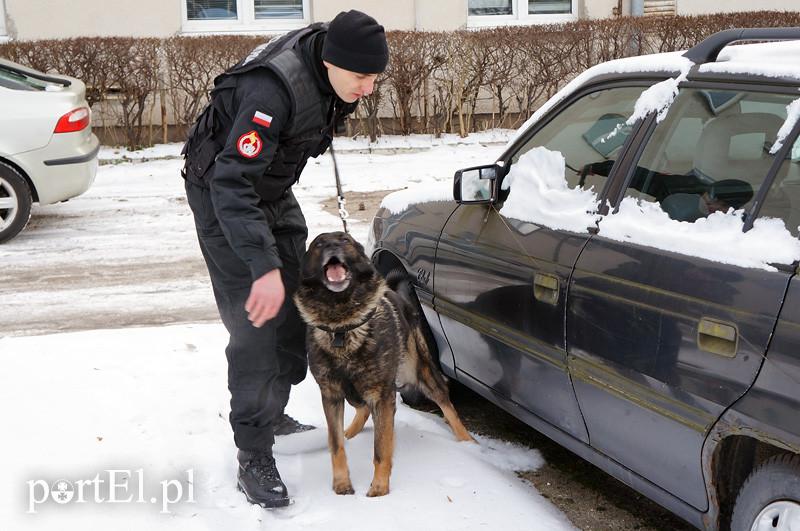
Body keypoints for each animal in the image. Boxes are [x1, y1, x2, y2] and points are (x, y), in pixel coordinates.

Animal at [294, 232, 472, 498]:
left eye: (345, 241)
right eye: (319, 244)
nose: (332, 246)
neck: (342, 326)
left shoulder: (383, 396)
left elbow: (381, 447)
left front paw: (379, 488)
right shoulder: (331, 395)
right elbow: (336, 445)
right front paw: (341, 483)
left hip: (417, 372)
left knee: (445, 402)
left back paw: (468, 442)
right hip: (354, 391)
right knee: (361, 410)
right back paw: (350, 432)